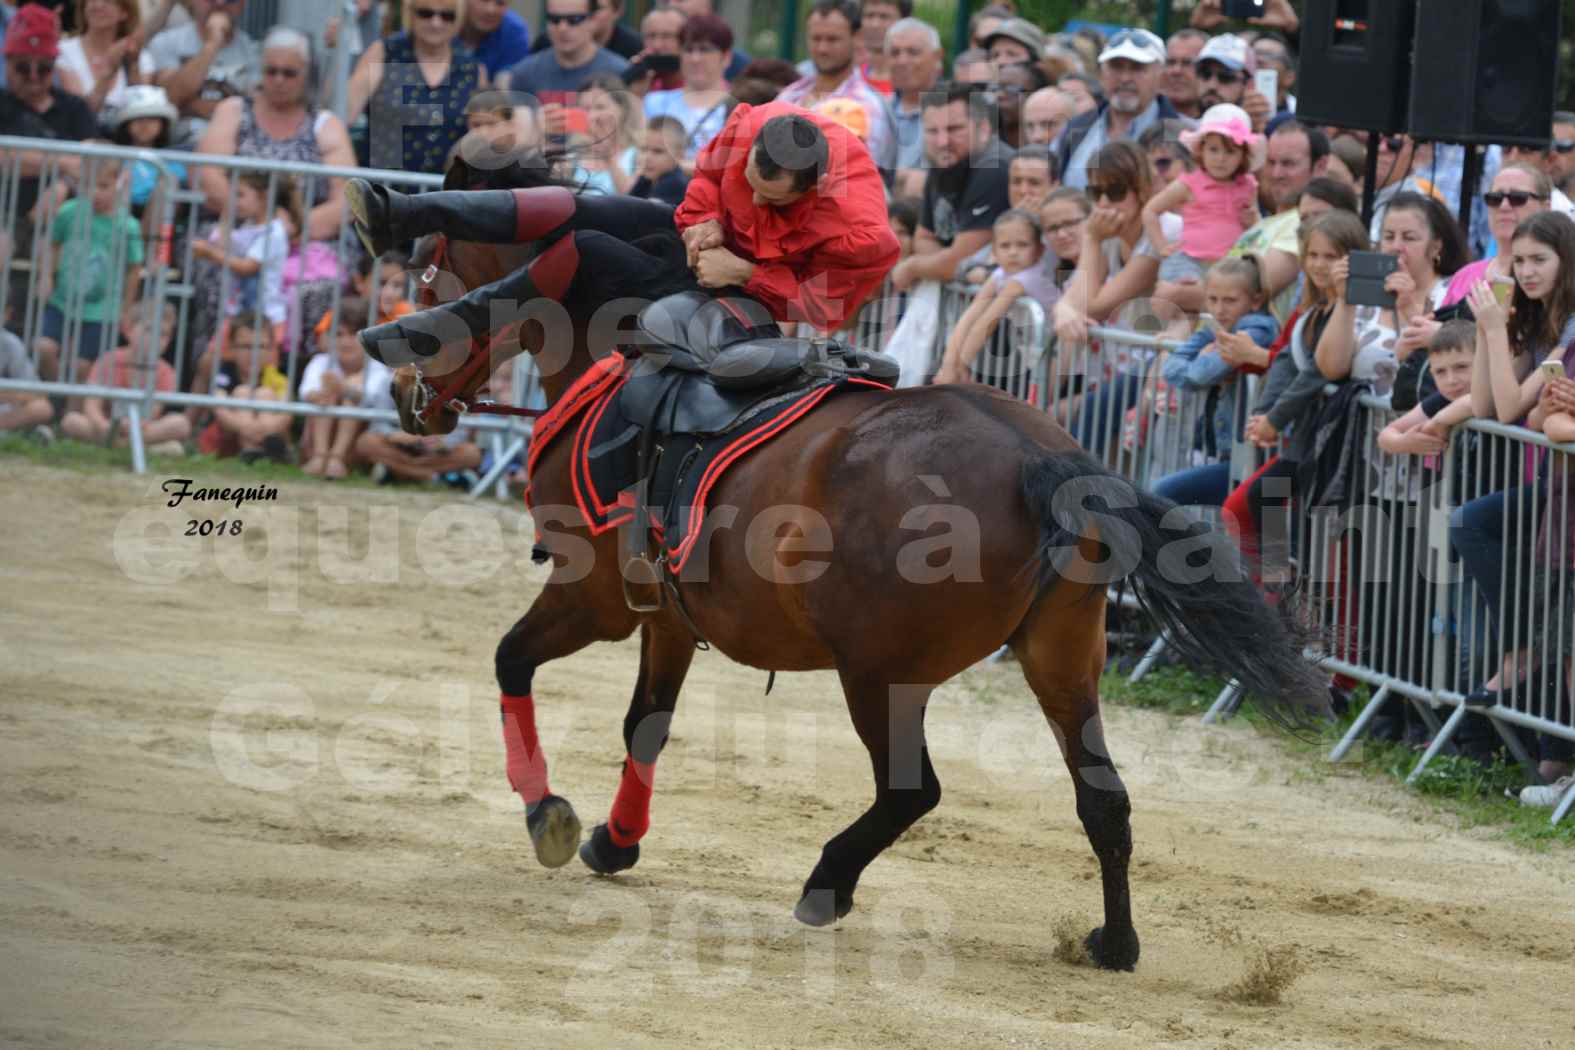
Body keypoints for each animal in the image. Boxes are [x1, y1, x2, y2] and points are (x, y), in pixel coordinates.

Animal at [387, 160, 1323, 976]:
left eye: (426, 281)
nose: (403, 392)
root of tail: (1038, 458)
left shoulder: (593, 599)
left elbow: (512, 661)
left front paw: (546, 811)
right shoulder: (668, 618)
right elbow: (644, 724)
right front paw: (617, 839)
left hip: (879, 674)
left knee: (913, 793)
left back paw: (826, 882)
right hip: (1062, 659)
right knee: (1105, 799)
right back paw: (1114, 941)